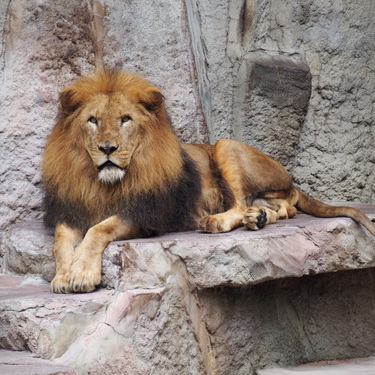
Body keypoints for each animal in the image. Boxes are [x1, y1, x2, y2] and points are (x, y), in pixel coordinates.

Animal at [42, 70, 375, 294]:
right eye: (93, 120)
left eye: (125, 119)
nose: (108, 148)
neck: (104, 184)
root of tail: (292, 181)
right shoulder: (73, 209)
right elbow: (60, 241)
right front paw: (62, 276)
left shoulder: (147, 214)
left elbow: (99, 229)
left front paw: (81, 274)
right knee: (284, 209)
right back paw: (259, 217)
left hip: (225, 145)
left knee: (244, 204)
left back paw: (219, 220)